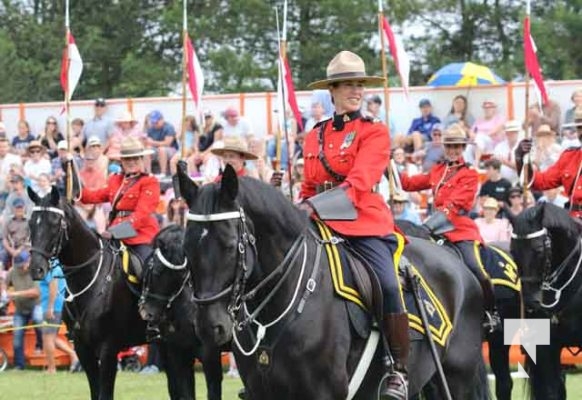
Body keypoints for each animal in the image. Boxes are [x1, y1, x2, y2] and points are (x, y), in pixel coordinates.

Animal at [139, 225, 226, 400]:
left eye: (157, 271)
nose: (145, 312)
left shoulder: (210, 354)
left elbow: (213, 390)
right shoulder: (179, 353)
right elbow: (186, 392)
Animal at [177, 166, 488, 400]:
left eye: (231, 246)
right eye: (186, 247)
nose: (210, 326)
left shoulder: (325, 392)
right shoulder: (261, 392)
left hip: (456, 379)